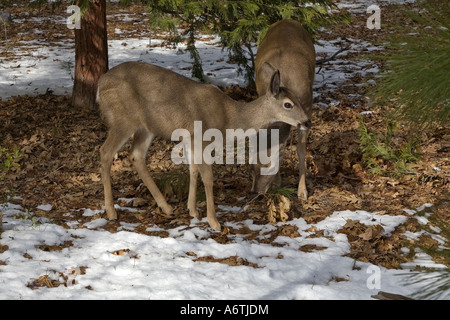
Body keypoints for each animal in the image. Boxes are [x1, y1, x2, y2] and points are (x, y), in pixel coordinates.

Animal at [97, 61, 312, 230]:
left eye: (298, 100)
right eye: (288, 104)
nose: (307, 122)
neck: (229, 117)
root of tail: (100, 85)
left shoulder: (191, 139)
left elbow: (193, 170)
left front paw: (192, 210)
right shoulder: (202, 137)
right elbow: (208, 177)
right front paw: (214, 221)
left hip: (146, 126)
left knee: (136, 155)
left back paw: (166, 207)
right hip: (123, 119)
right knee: (105, 152)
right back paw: (111, 211)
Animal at [253, 19, 316, 200]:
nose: (257, 191)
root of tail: (286, 20)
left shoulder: (307, 109)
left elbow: (301, 150)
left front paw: (302, 191)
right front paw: (277, 183)